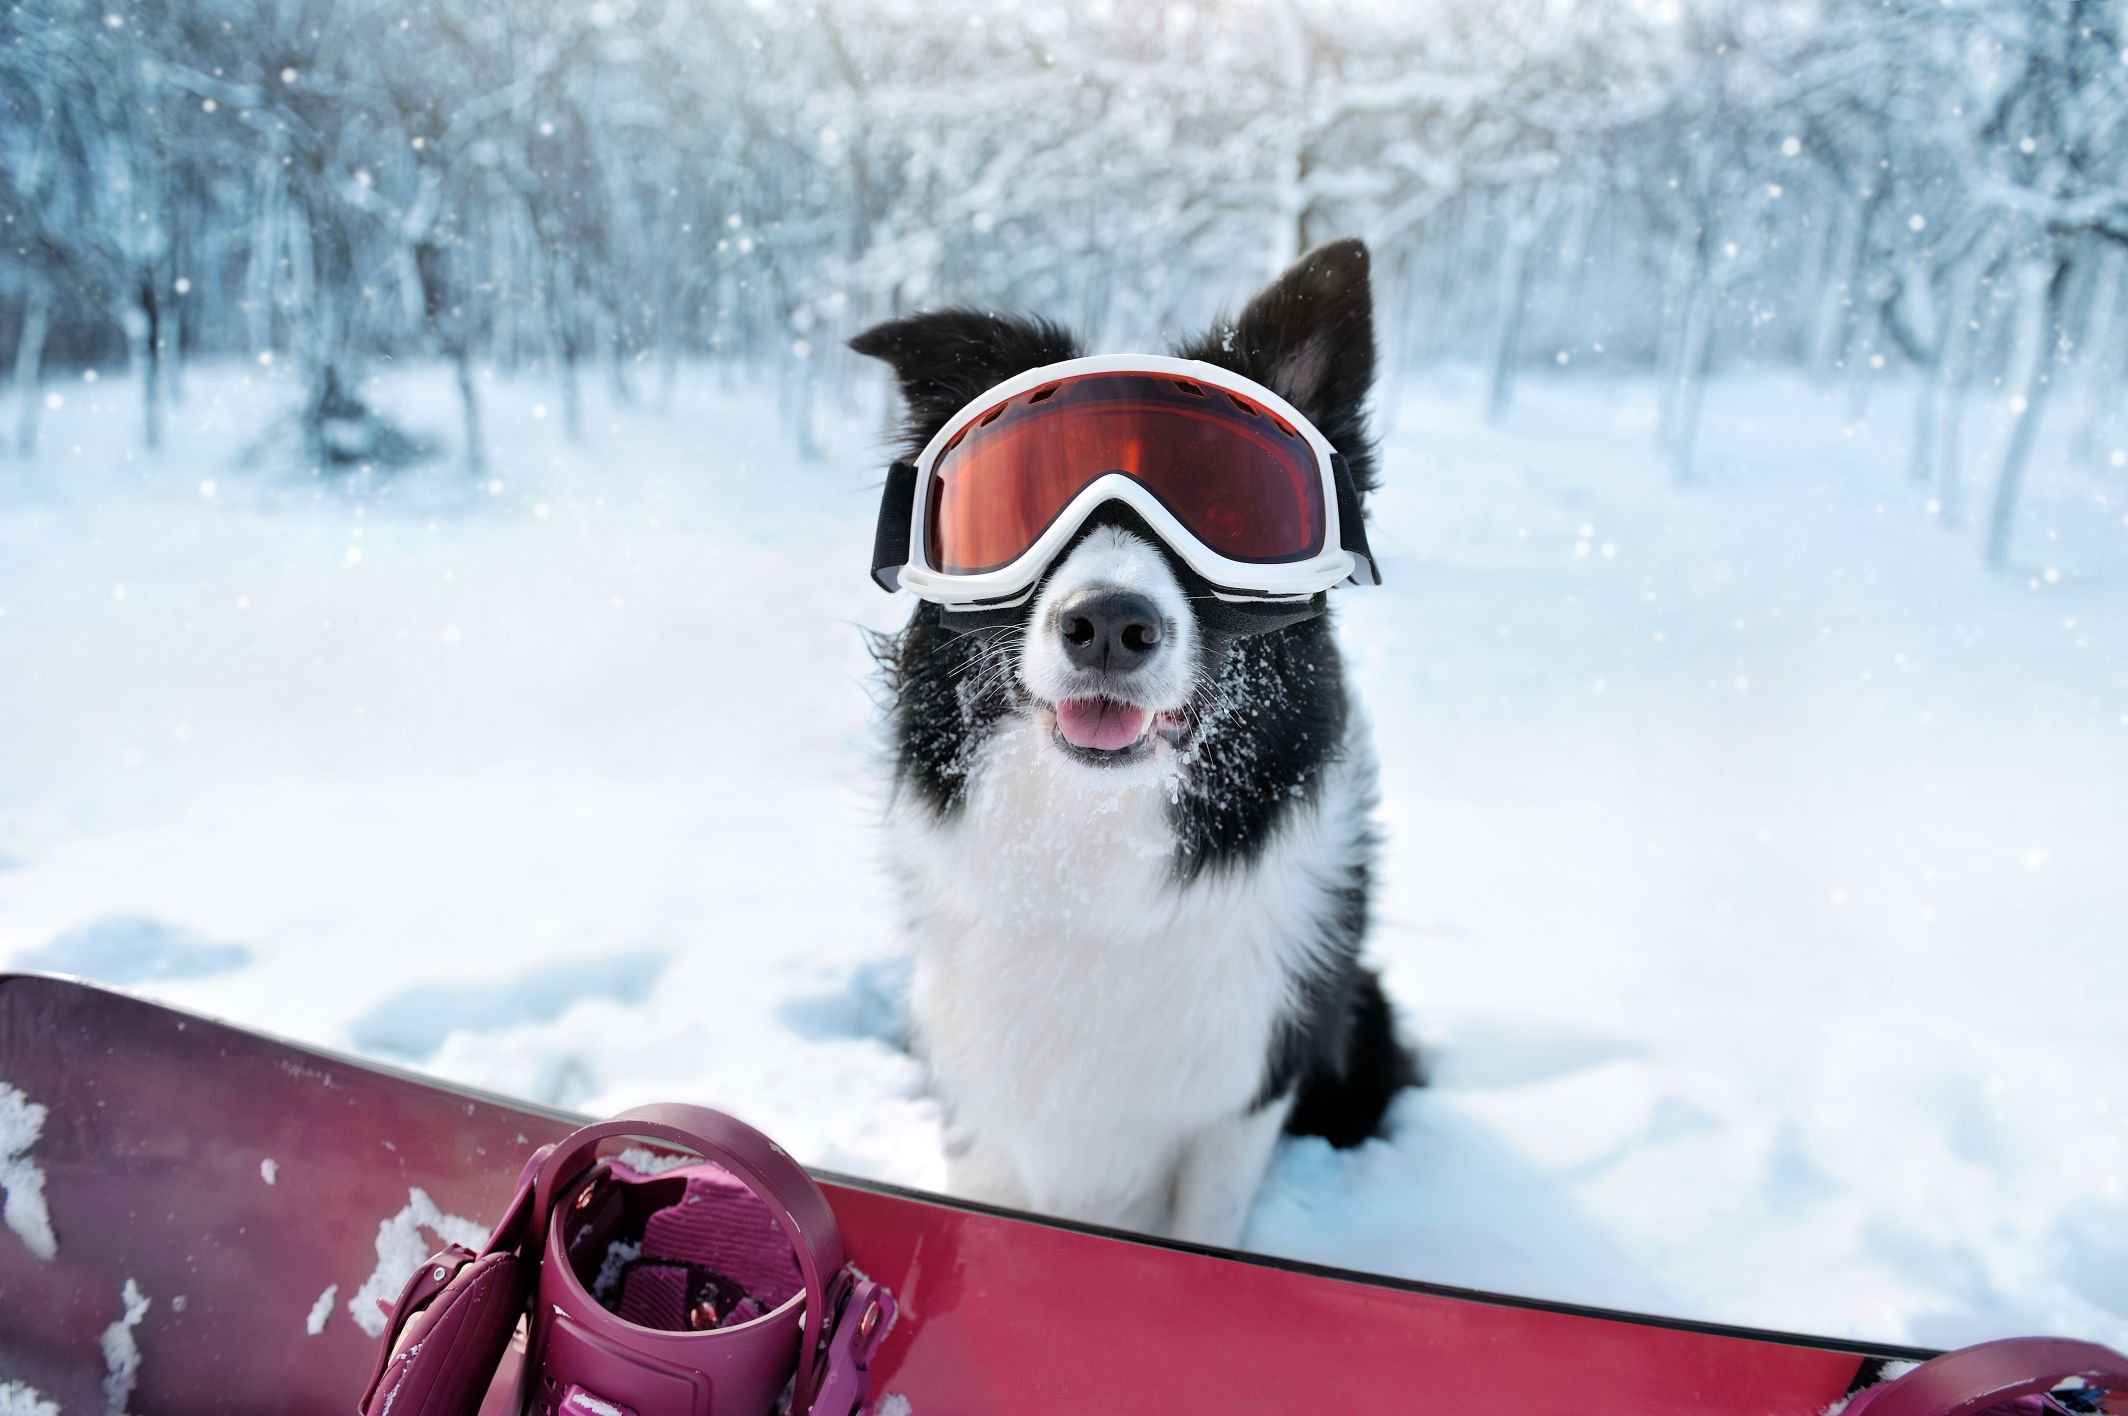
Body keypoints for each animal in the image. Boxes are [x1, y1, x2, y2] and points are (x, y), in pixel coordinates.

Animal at [846, 242, 1412, 1252]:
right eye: (1018, 498)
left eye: (1230, 503)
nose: (1109, 624)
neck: (1088, 856)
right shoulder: (980, 1088)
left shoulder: (1246, 1088)